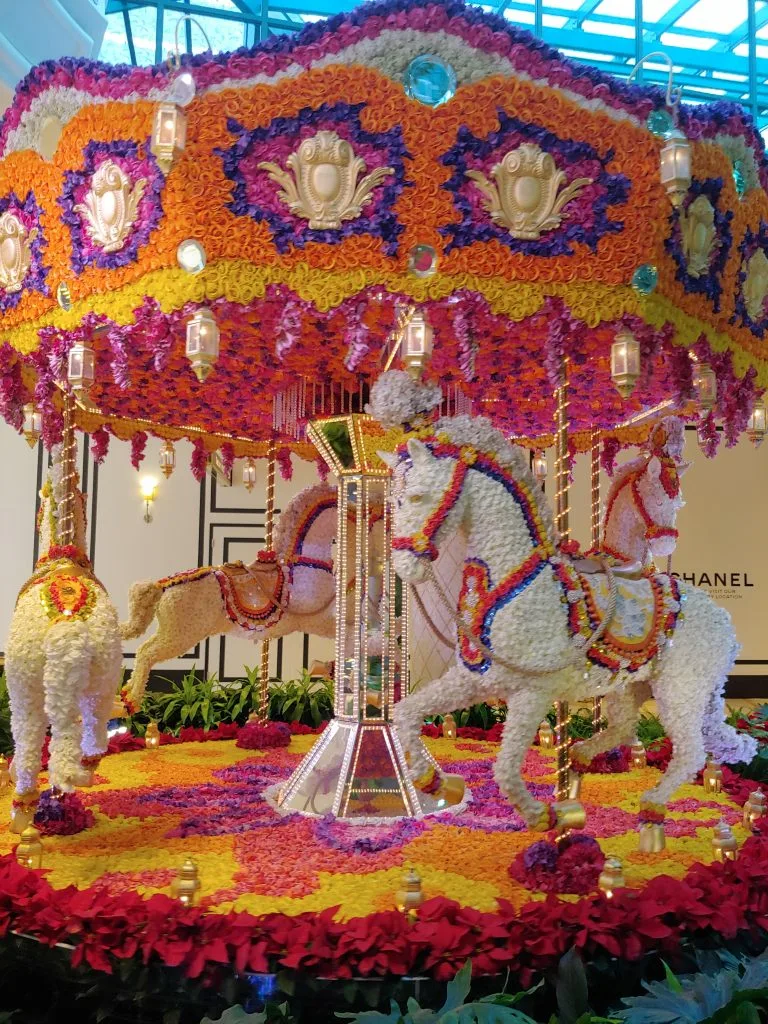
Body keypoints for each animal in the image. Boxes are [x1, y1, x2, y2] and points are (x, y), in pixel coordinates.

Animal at [4, 444, 121, 827]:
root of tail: (68, 622)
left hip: (26, 687)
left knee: (37, 740)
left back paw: (24, 803)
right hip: (100, 680)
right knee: (89, 734)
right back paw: (75, 778)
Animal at [385, 411, 757, 827]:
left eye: (417, 496)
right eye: (396, 499)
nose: (405, 566)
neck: (515, 582)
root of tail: (724, 623)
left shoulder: (532, 692)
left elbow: (505, 766)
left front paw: (541, 816)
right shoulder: (474, 681)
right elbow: (406, 711)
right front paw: (434, 781)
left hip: (681, 689)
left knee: (691, 750)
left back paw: (650, 805)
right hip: (632, 686)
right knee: (626, 726)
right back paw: (580, 758)